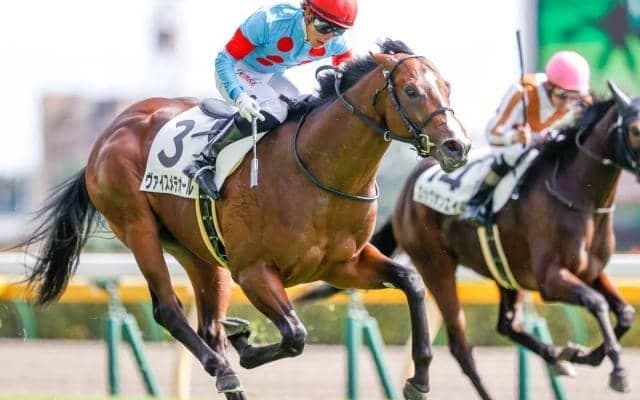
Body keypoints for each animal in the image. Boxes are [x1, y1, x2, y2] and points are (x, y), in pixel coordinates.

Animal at [16, 39, 470, 400]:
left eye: (448, 86)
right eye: (411, 90)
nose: (457, 146)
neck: (319, 171)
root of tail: (110, 133)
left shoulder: (344, 264)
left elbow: (411, 282)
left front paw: (419, 380)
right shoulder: (253, 271)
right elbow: (295, 335)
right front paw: (247, 348)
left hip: (198, 252)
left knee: (209, 325)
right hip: (137, 228)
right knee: (169, 310)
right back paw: (225, 370)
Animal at [296, 82, 640, 399]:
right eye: (636, 129)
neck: (578, 196)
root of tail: (405, 194)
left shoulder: (590, 271)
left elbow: (624, 312)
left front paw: (585, 354)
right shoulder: (550, 278)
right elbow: (596, 303)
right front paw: (617, 370)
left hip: (507, 272)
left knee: (508, 325)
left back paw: (558, 357)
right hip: (436, 267)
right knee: (461, 347)